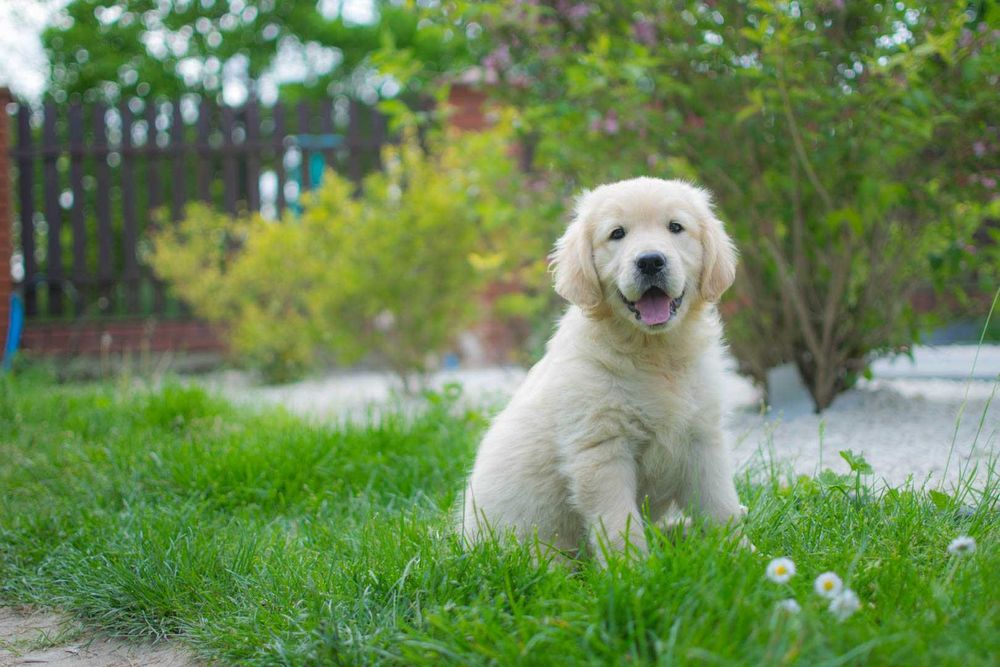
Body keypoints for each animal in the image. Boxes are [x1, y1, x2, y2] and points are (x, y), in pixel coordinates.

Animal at [460, 177, 744, 564]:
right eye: (617, 234)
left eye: (675, 227)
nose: (650, 261)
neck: (655, 352)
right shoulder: (601, 449)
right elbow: (618, 522)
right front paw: (634, 569)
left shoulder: (702, 437)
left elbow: (721, 505)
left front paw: (746, 556)